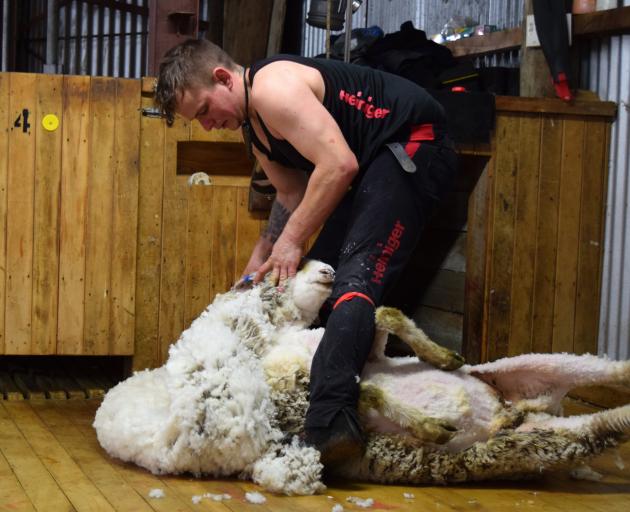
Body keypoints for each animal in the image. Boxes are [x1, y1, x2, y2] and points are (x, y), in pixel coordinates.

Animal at [95, 262, 630, 494]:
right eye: (258, 277)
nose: (329, 269)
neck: (281, 336)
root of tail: (520, 410)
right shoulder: (298, 395)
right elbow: (365, 389)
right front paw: (431, 426)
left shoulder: (359, 354)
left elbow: (385, 316)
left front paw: (443, 355)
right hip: (543, 438)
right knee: (608, 423)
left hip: (541, 370)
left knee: (609, 375)